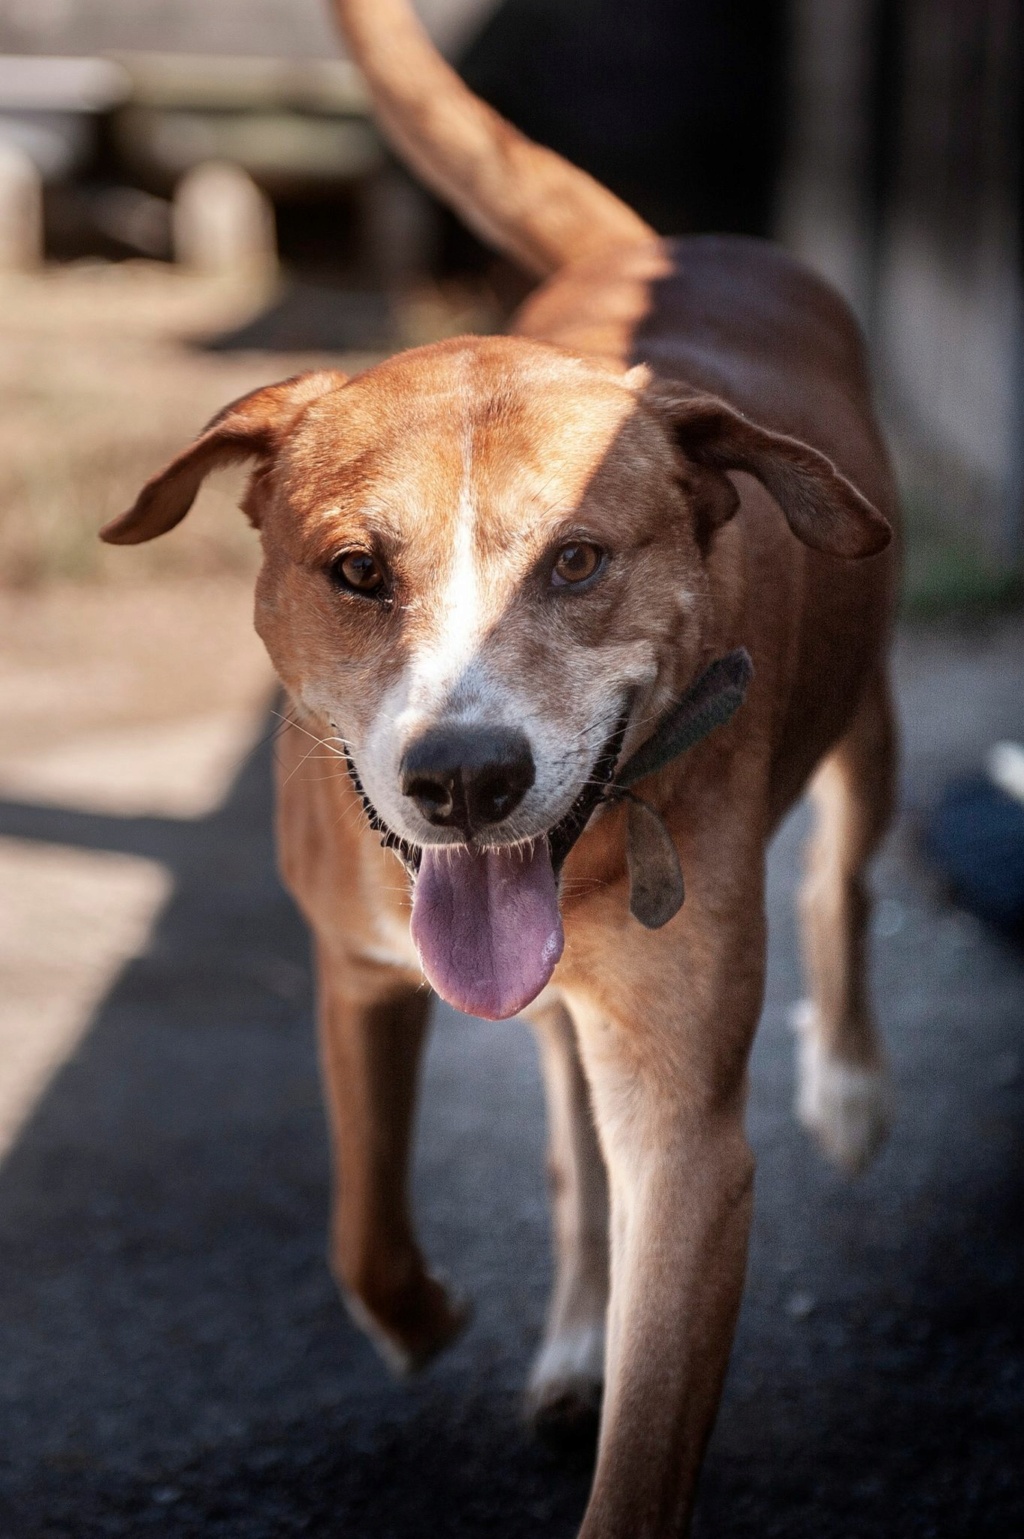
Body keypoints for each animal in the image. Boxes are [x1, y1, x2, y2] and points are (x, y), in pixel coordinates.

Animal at [103, 6, 899, 1532]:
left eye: (578, 560)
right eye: (358, 571)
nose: (464, 780)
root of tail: (664, 243)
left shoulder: (688, 1136)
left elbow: (648, 1444)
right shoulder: (355, 965)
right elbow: (362, 1216)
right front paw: (423, 1319)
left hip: (869, 716)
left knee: (847, 868)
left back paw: (845, 1080)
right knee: (570, 1152)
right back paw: (577, 1332)